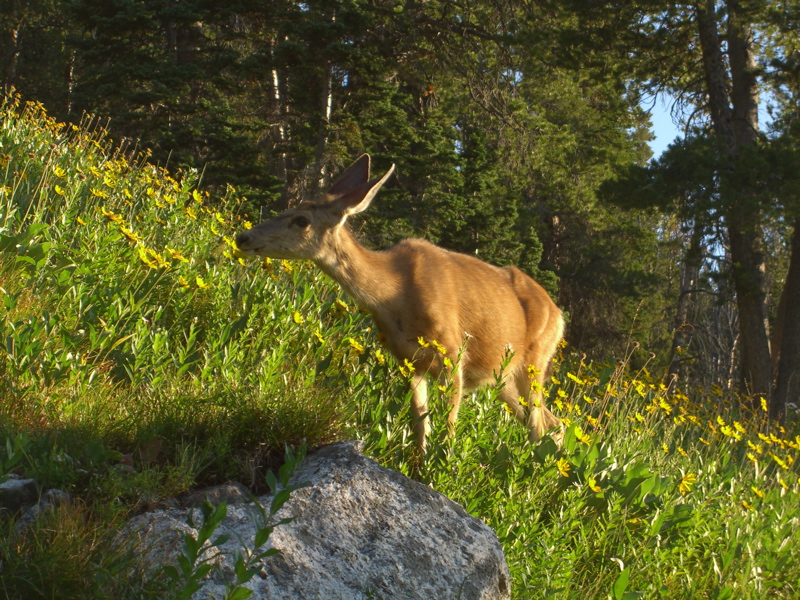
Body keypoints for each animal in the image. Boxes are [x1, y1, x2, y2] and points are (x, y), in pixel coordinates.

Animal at [234, 157, 564, 452]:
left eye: (302, 220)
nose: (243, 236)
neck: (394, 295)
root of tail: (559, 315)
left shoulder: (452, 354)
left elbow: (448, 430)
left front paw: (442, 471)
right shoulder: (409, 361)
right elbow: (421, 427)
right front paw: (419, 465)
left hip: (535, 361)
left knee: (539, 426)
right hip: (503, 378)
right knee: (553, 424)